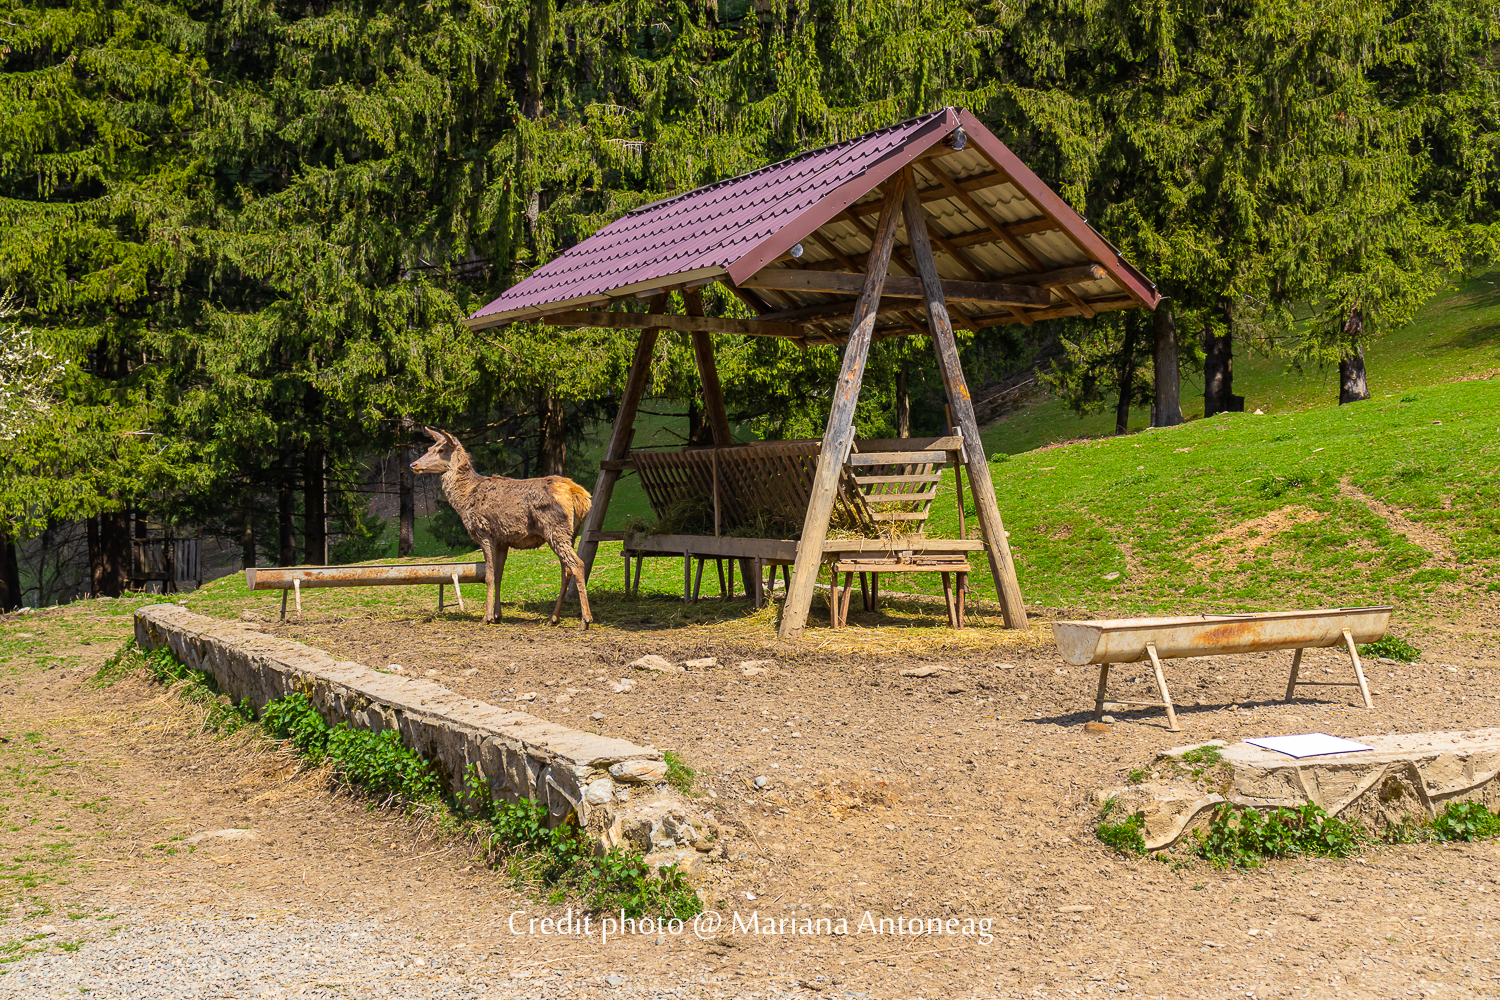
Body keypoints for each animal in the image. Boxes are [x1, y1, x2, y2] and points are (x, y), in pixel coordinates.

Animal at [410, 427, 595, 629]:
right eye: (429, 447)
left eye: (441, 450)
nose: (413, 464)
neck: (464, 499)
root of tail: (580, 495)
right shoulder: (503, 540)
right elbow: (498, 575)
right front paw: (497, 615)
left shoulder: (485, 533)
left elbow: (489, 576)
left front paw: (486, 617)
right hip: (569, 533)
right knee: (566, 569)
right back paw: (553, 618)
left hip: (555, 529)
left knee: (577, 564)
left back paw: (585, 620)